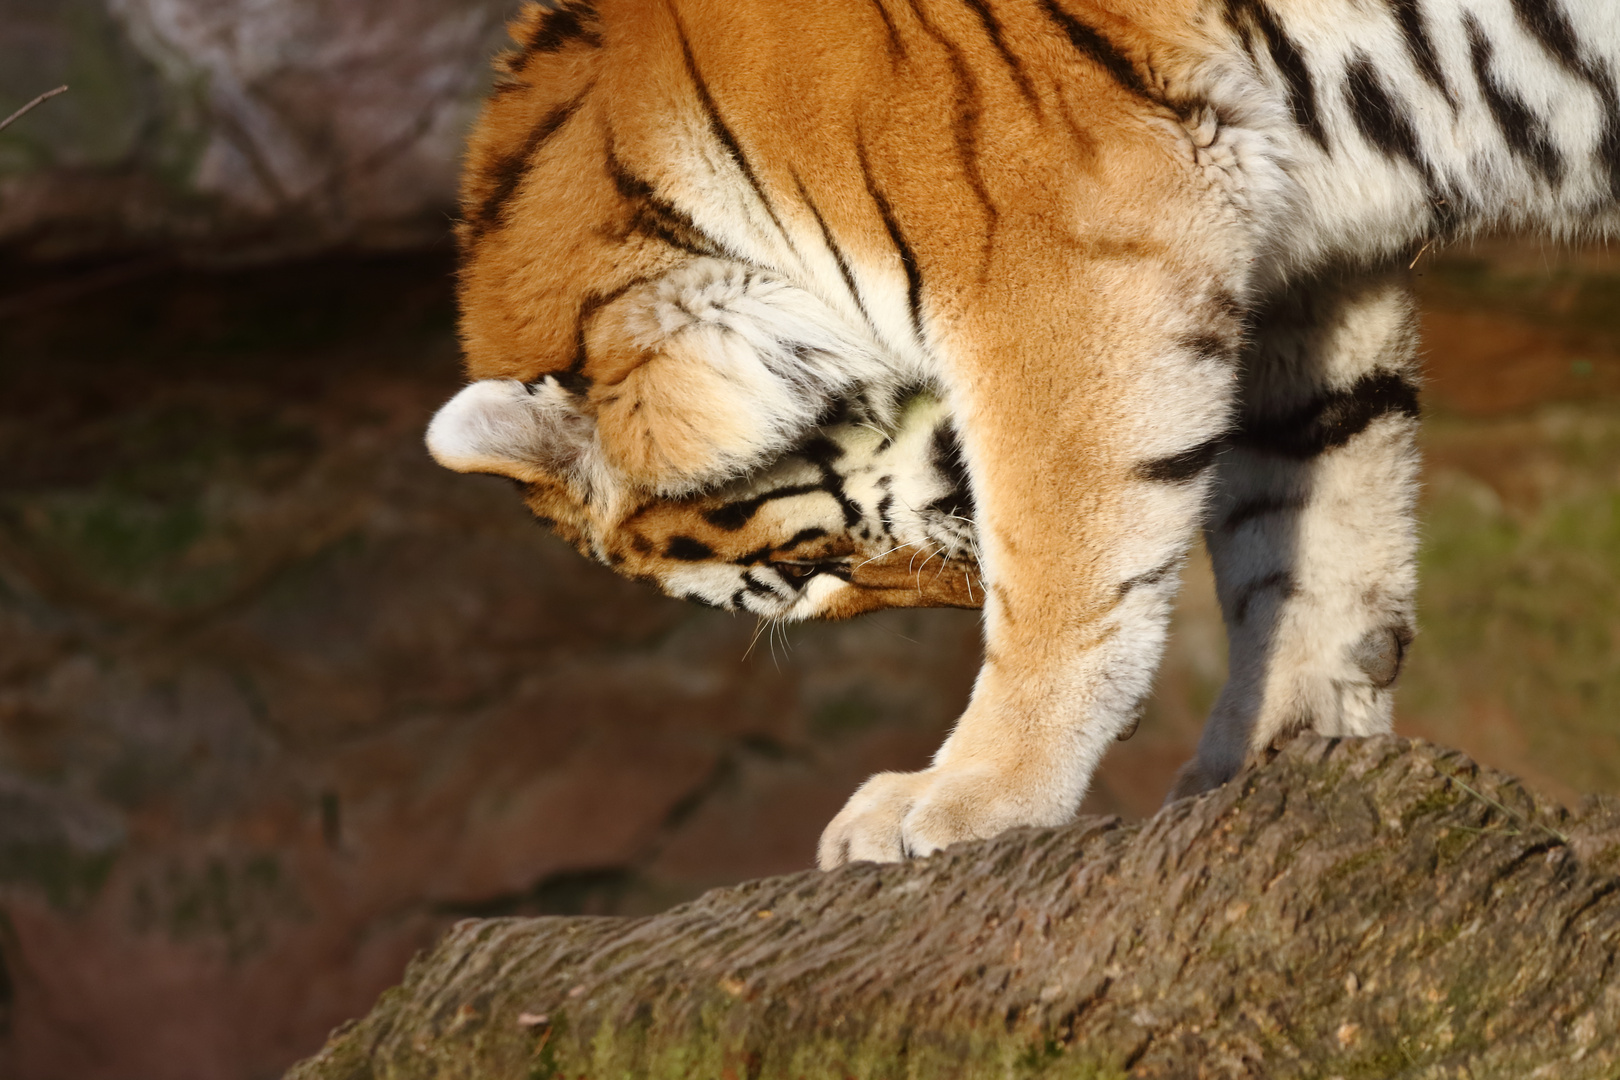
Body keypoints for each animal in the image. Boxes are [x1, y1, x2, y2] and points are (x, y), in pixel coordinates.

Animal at [427, 0, 1620, 867]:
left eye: (808, 570)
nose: (960, 605)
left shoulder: (1066, 250)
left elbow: (1064, 571)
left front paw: (962, 795)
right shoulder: (1304, 262)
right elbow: (1307, 515)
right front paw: (1278, 755)